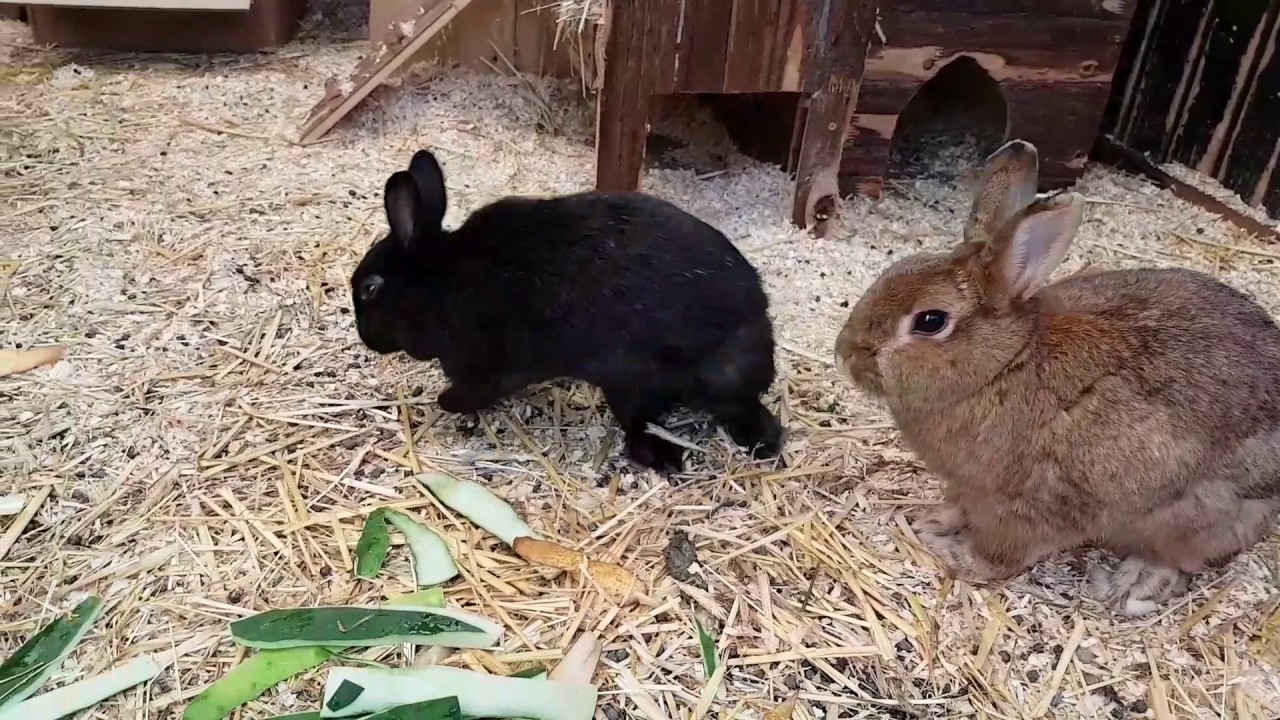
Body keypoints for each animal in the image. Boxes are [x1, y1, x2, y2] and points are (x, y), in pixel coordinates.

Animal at [349, 149, 783, 475]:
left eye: (369, 289)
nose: (365, 338)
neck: (435, 284)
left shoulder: (491, 368)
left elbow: (465, 394)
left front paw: (447, 402)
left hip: (628, 381)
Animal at [834, 138, 1280, 616]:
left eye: (930, 321)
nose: (844, 354)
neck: (1003, 366)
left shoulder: (1030, 506)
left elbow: (1002, 553)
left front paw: (954, 554)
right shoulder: (968, 489)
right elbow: (958, 507)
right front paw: (932, 519)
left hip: (1190, 515)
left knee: (1177, 559)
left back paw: (1131, 583)